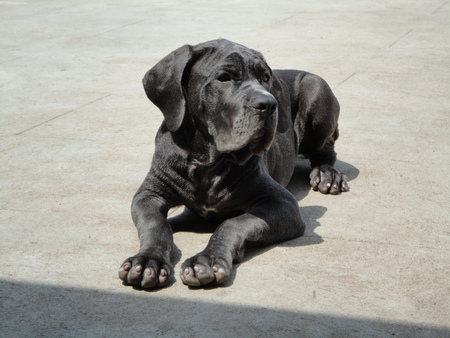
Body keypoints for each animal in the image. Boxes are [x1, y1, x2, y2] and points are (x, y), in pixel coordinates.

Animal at [117, 39, 348, 288]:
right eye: (224, 77)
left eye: (265, 77)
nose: (269, 103)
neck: (207, 162)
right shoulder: (148, 195)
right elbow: (156, 225)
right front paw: (148, 260)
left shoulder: (282, 203)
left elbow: (233, 223)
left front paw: (207, 260)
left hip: (317, 91)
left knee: (326, 151)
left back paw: (327, 174)